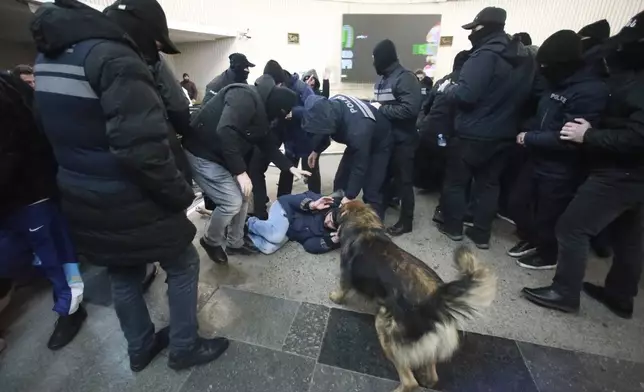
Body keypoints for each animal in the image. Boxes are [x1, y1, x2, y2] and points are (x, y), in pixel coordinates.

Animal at [332, 202, 498, 392]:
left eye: (340, 206)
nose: (333, 209)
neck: (364, 224)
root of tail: (435, 303)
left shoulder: (345, 274)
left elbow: (342, 289)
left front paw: (335, 297)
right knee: (432, 374)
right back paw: (427, 378)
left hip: (386, 327)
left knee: (409, 381)